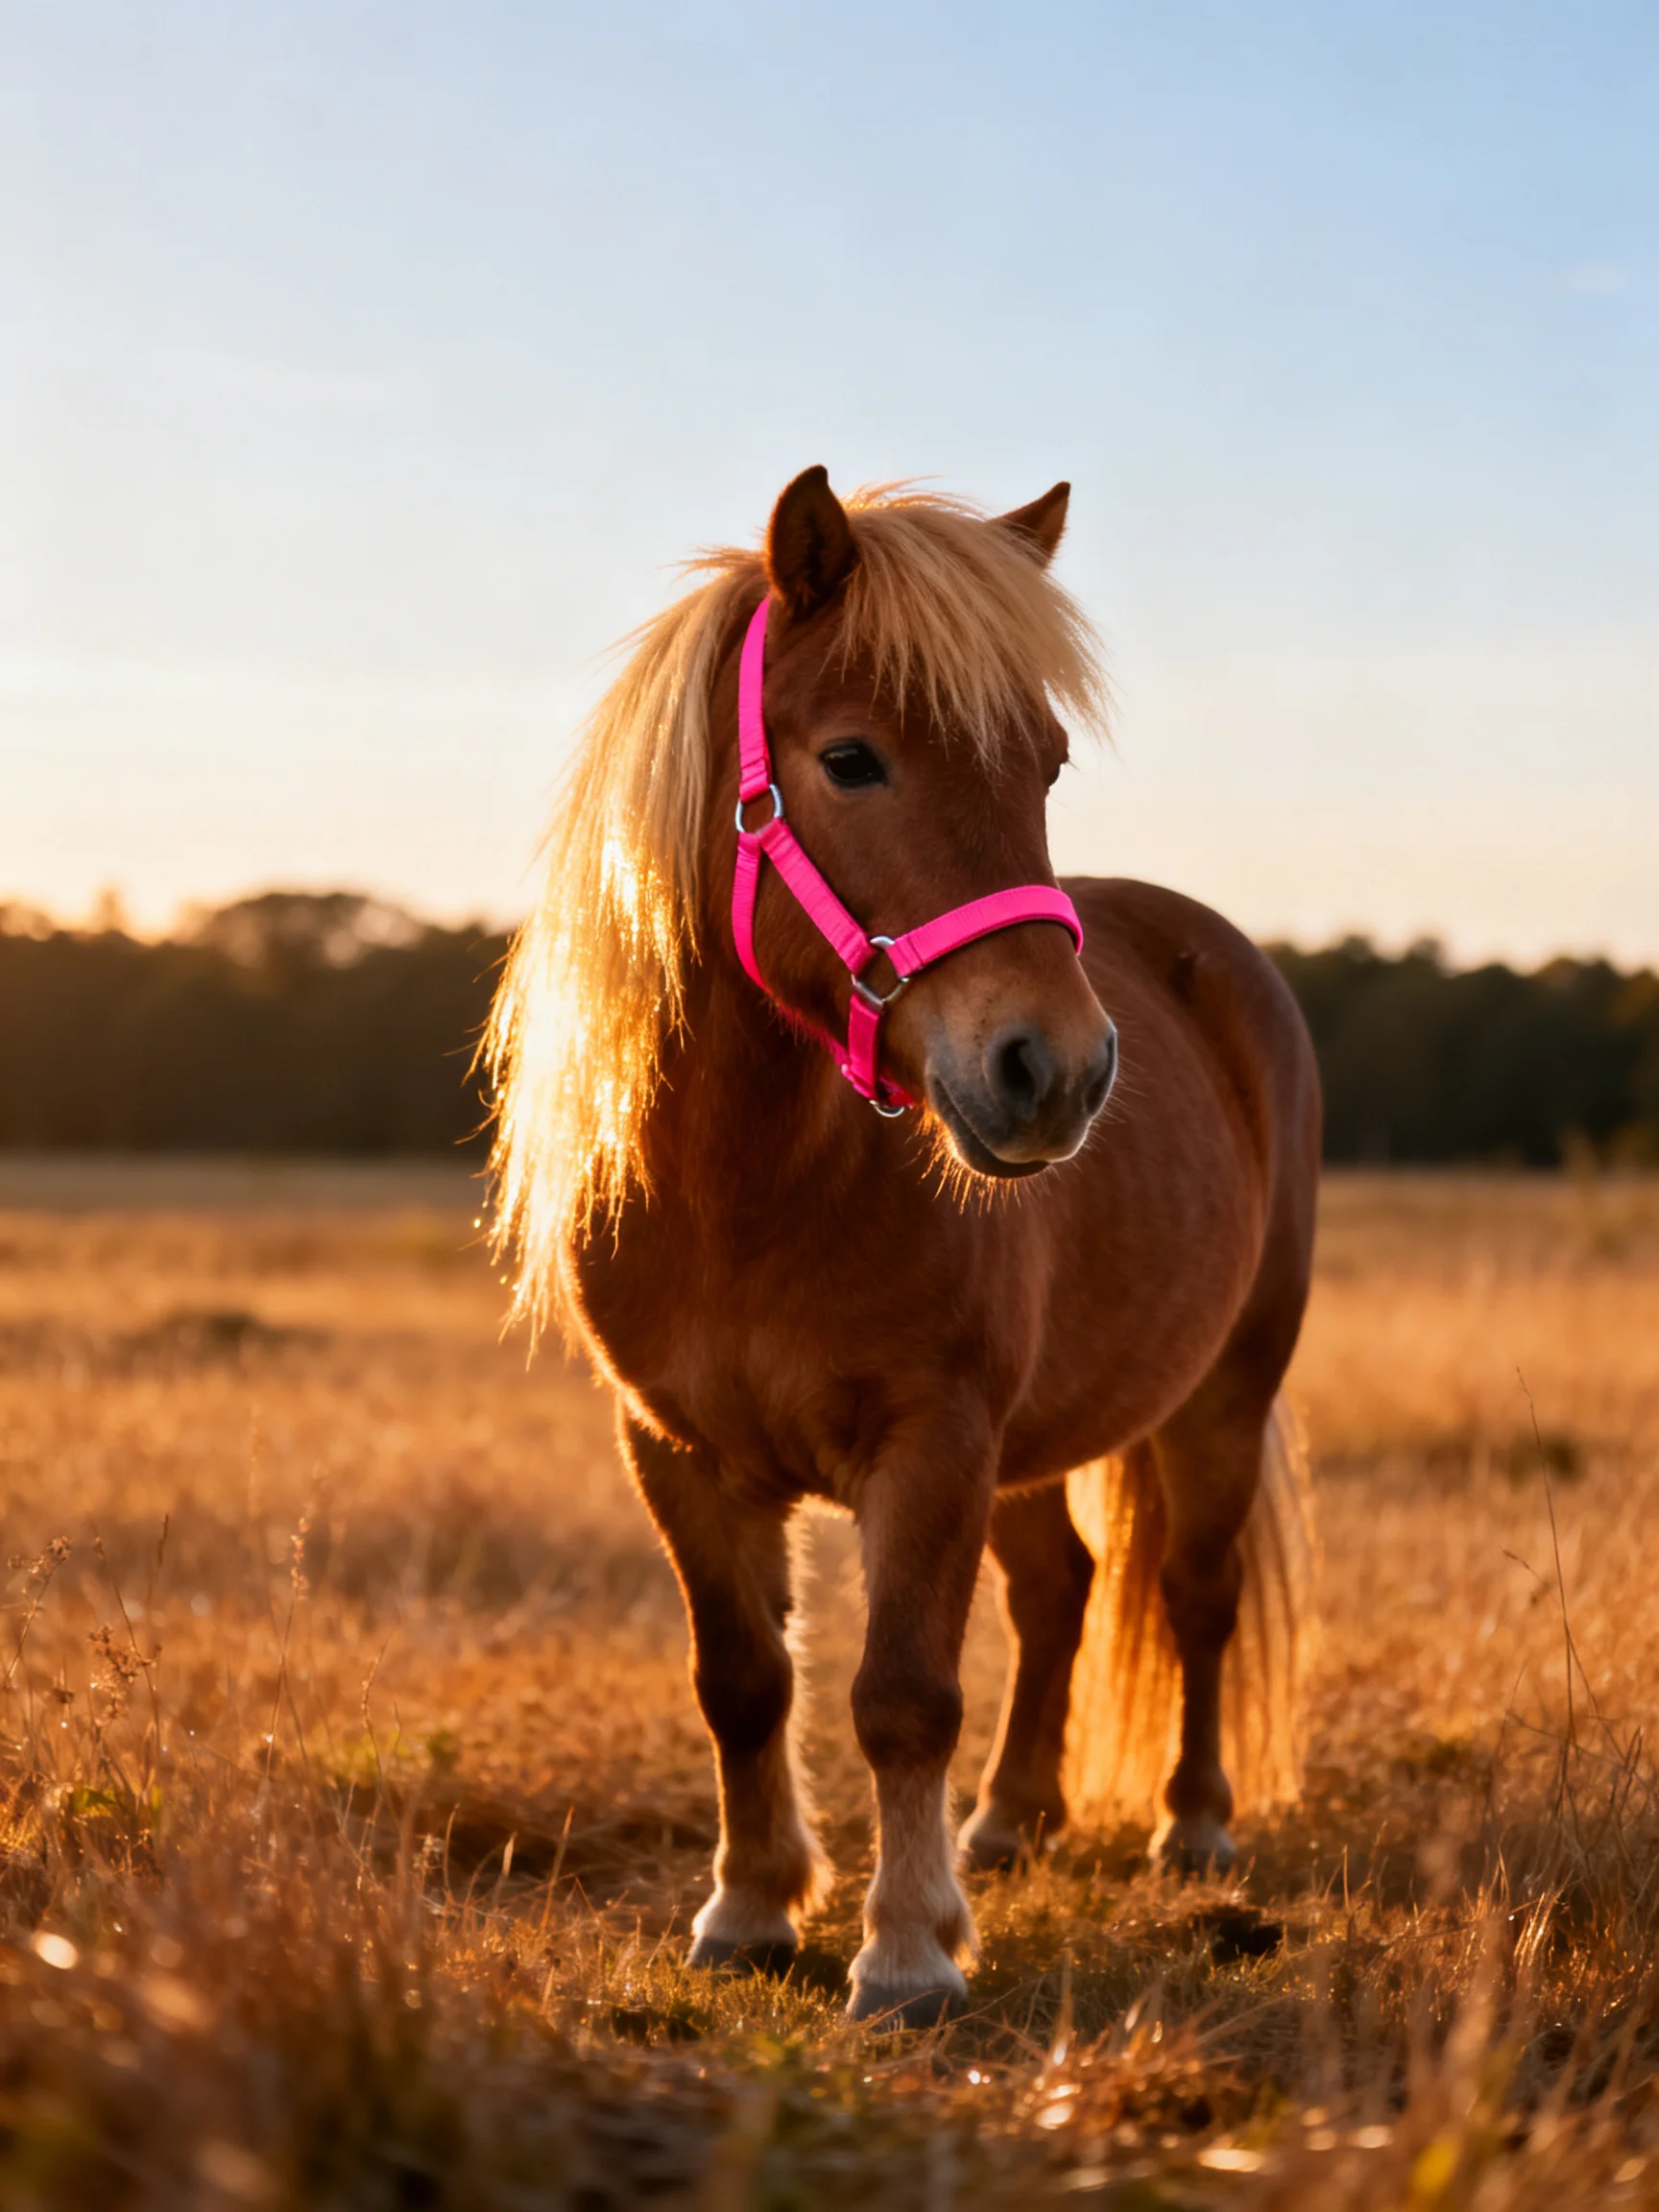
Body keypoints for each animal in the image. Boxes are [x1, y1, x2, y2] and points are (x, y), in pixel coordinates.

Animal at [488, 468, 1320, 2027]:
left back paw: (1192, 1829)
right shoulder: (677, 1452)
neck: (748, 1192)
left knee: (1196, 1594)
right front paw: (750, 1911)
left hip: (1224, 1394)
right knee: (1060, 1589)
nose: (1055, 1071)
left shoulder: (933, 1438)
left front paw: (910, 1952)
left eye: (1046, 766)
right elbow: (745, 1680)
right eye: (853, 760)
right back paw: (1013, 1820)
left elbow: (902, 1695)